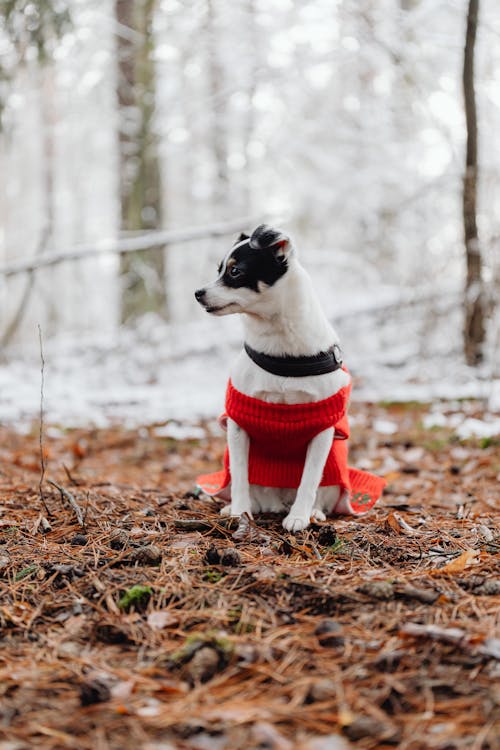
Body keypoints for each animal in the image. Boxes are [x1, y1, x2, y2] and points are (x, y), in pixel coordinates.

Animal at [193, 226, 384, 532]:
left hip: (335, 462)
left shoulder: (322, 429)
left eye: (235, 271)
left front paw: (299, 517)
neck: (281, 349)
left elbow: (309, 478)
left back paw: (313, 511)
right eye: (219, 269)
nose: (198, 293)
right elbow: (241, 475)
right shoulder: (238, 424)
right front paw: (240, 512)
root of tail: (276, 502)